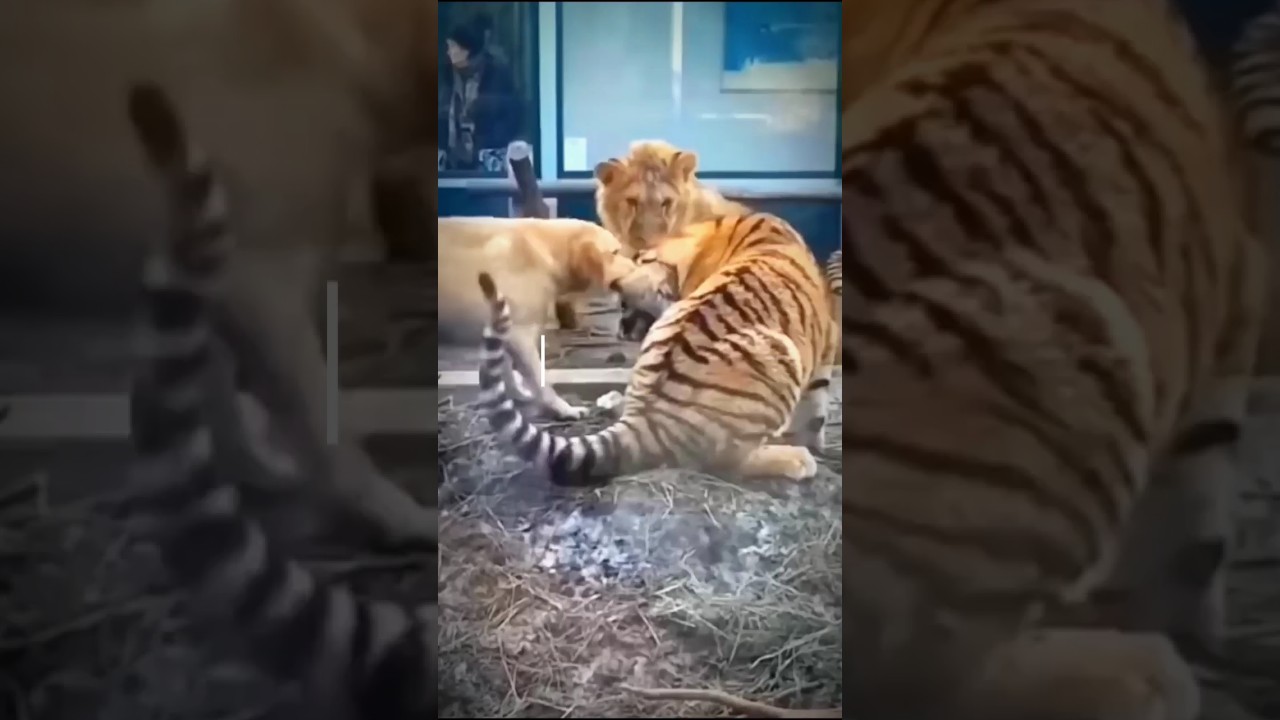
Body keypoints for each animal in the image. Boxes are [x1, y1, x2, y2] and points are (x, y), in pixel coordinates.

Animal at [476, 212, 838, 486]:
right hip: (779, 351)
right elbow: (817, 403)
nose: (616, 285)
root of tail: (651, 416)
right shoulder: (825, 347)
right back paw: (796, 459)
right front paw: (813, 442)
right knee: (729, 461)